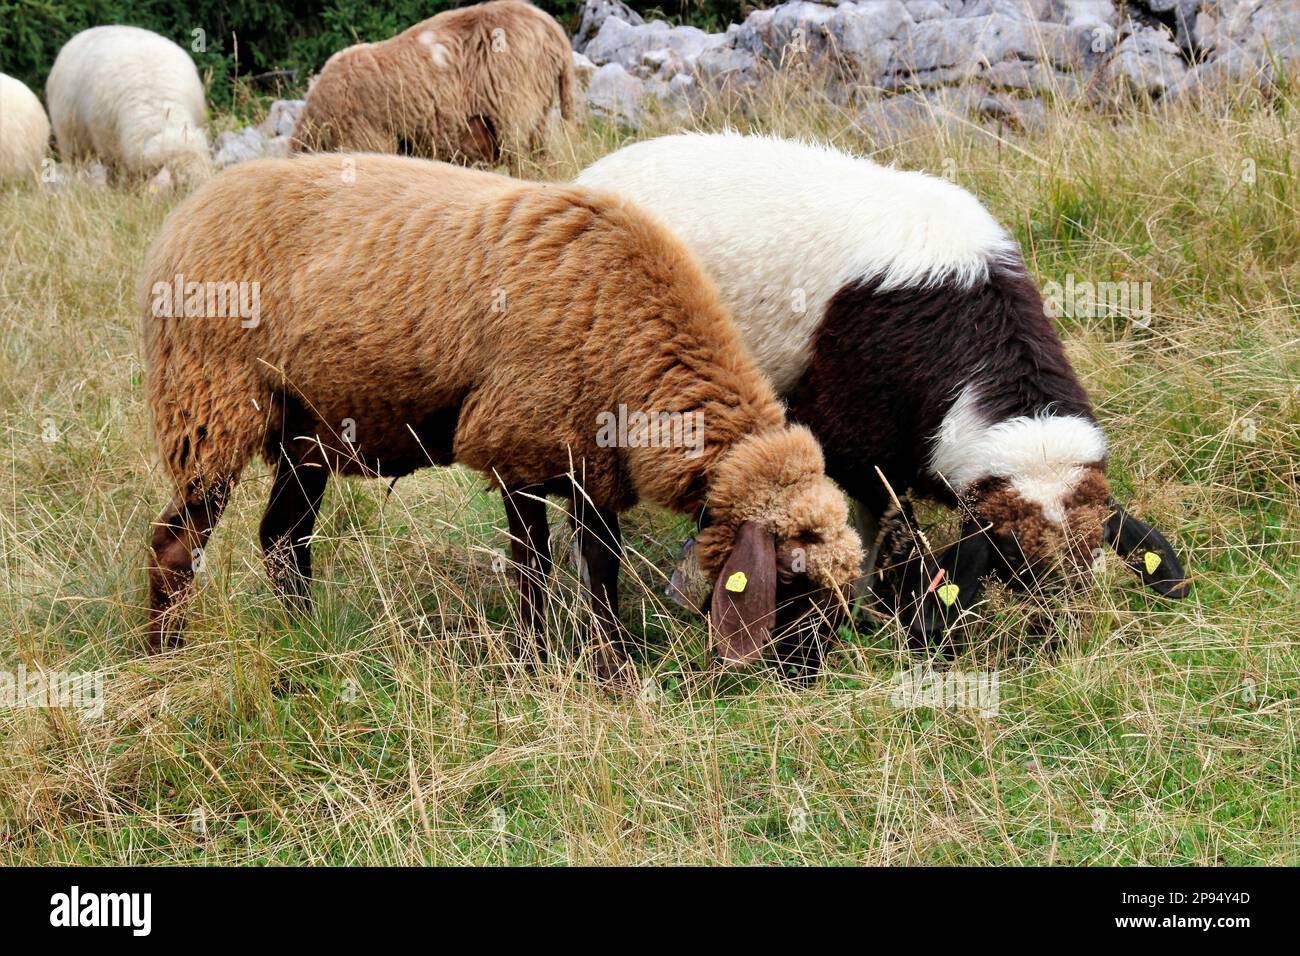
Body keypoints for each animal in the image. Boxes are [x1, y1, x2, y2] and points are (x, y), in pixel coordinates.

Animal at [142, 153, 863, 681]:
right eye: (792, 576)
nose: (808, 675)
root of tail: (184, 216)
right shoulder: (521, 444)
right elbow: (533, 570)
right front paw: (535, 663)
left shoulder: (592, 461)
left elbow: (601, 567)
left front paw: (611, 666)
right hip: (209, 400)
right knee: (177, 542)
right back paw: (165, 657)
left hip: (307, 427)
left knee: (283, 538)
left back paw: (305, 636)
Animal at [579, 132, 1190, 642]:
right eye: (1011, 559)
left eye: (1094, 553)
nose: (1062, 636)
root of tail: (592, 171)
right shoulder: (847, 437)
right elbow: (894, 529)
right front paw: (886, 608)